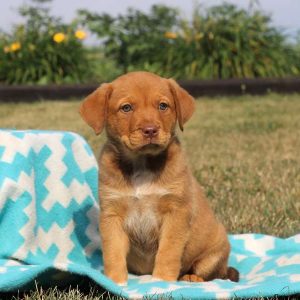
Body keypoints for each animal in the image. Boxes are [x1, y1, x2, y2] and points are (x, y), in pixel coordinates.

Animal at [79, 71, 239, 284]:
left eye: (163, 106)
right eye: (126, 108)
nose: (150, 130)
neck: (142, 164)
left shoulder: (176, 213)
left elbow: (168, 252)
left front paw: (162, 280)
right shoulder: (111, 215)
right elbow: (113, 253)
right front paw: (115, 281)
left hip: (216, 249)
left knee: (214, 274)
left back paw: (191, 278)